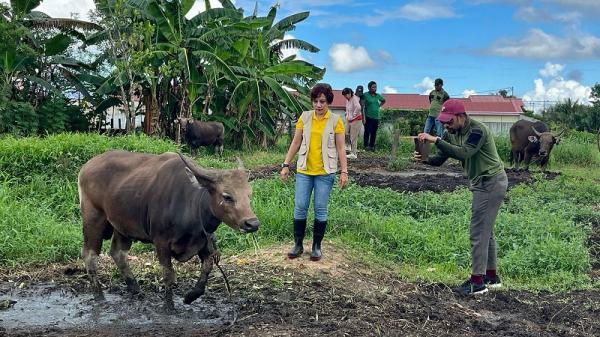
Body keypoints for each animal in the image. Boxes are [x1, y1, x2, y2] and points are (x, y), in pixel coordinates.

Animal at [78, 150, 260, 310]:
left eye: (249, 195)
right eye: (227, 196)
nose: (253, 223)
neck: (190, 205)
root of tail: (86, 167)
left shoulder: (203, 240)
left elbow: (208, 266)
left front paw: (191, 296)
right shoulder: (161, 242)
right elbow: (168, 273)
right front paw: (168, 306)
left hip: (122, 225)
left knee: (118, 253)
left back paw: (135, 289)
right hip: (94, 219)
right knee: (90, 255)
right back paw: (99, 296)